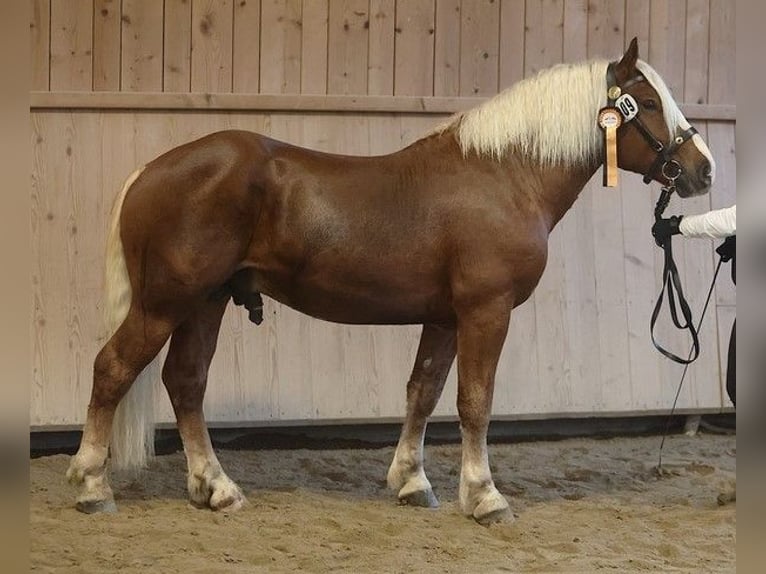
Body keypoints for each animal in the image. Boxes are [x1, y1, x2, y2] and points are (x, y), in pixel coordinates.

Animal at [66, 38, 715, 524]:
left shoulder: (445, 316)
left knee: (186, 382)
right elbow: (475, 401)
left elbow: (423, 392)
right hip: (165, 304)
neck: (504, 176)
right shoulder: (486, 310)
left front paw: (411, 482)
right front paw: (484, 496)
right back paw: (93, 486)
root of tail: (152, 169)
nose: (703, 170)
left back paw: (216, 488)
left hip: (206, 302)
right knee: (113, 369)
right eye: (646, 102)